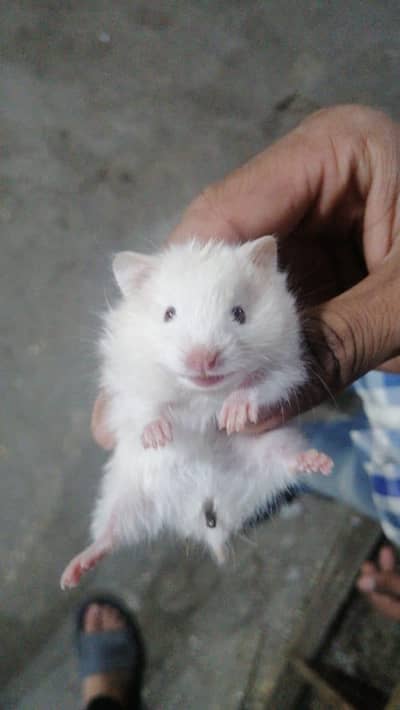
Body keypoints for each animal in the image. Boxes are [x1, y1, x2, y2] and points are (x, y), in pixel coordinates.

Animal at [61, 235, 332, 589]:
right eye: (169, 314)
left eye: (239, 313)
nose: (203, 359)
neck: (202, 393)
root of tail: (205, 512)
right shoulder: (127, 382)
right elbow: (145, 407)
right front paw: (159, 436)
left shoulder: (287, 365)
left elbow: (259, 385)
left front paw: (232, 416)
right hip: (126, 491)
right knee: (109, 534)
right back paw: (71, 574)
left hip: (275, 446)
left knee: (290, 461)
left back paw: (319, 462)